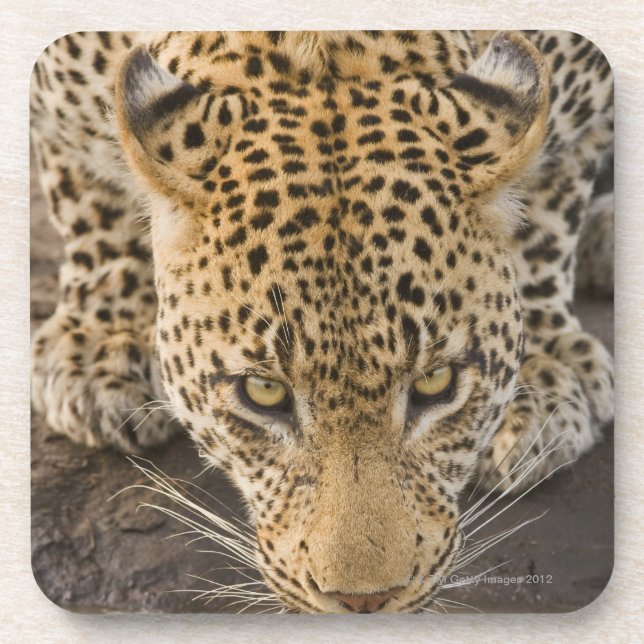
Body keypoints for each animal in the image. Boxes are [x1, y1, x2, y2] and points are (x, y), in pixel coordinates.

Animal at [30, 30, 614, 613]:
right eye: (264, 393)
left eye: (436, 384)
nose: (365, 602)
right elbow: (88, 198)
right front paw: (99, 344)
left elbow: (550, 212)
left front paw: (544, 379)